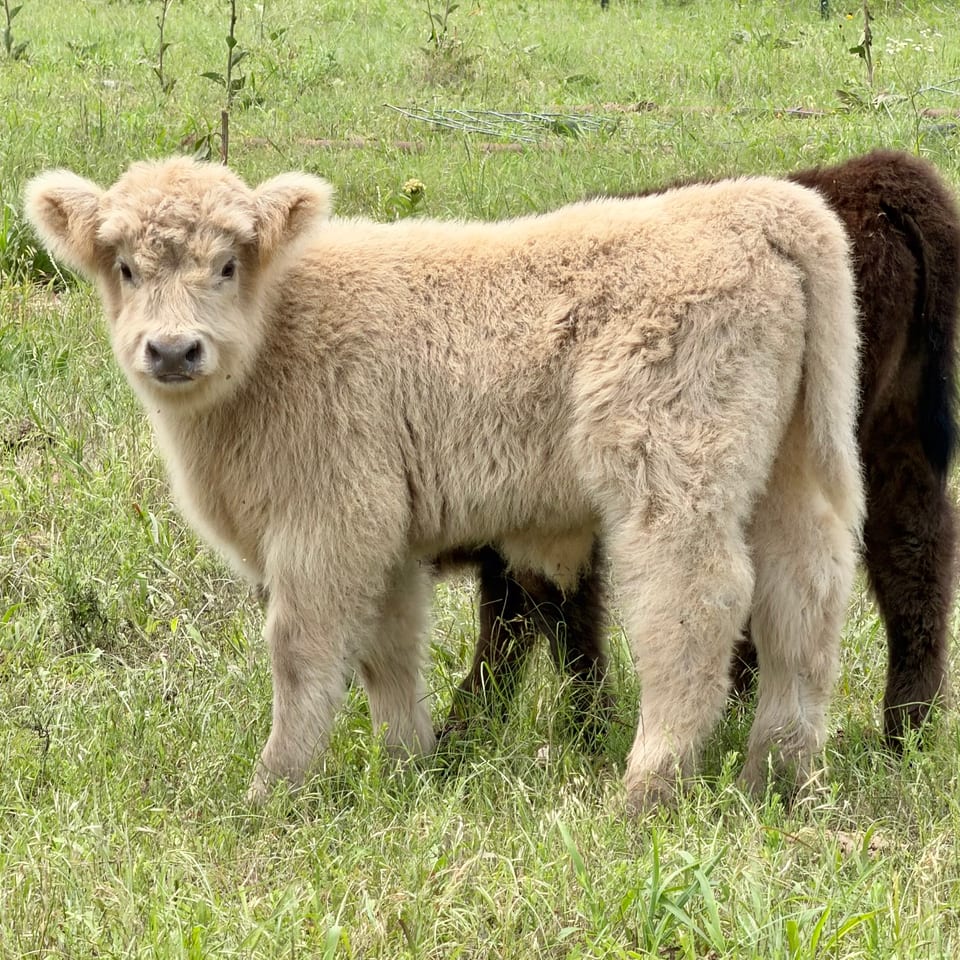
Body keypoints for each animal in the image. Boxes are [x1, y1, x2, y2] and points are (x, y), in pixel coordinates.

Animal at [25, 156, 863, 810]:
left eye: (228, 265)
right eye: (126, 268)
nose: (173, 350)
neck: (277, 334)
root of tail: (752, 203)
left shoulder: (331, 519)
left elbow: (302, 650)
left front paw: (275, 787)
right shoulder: (387, 535)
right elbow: (389, 650)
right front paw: (407, 768)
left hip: (672, 459)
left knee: (695, 597)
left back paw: (649, 786)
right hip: (786, 464)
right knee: (805, 591)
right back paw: (778, 775)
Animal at [445, 149, 960, 750]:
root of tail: (873, 178)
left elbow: (552, 621)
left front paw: (566, 731)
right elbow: (519, 622)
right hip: (892, 441)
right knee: (913, 551)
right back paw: (905, 732)